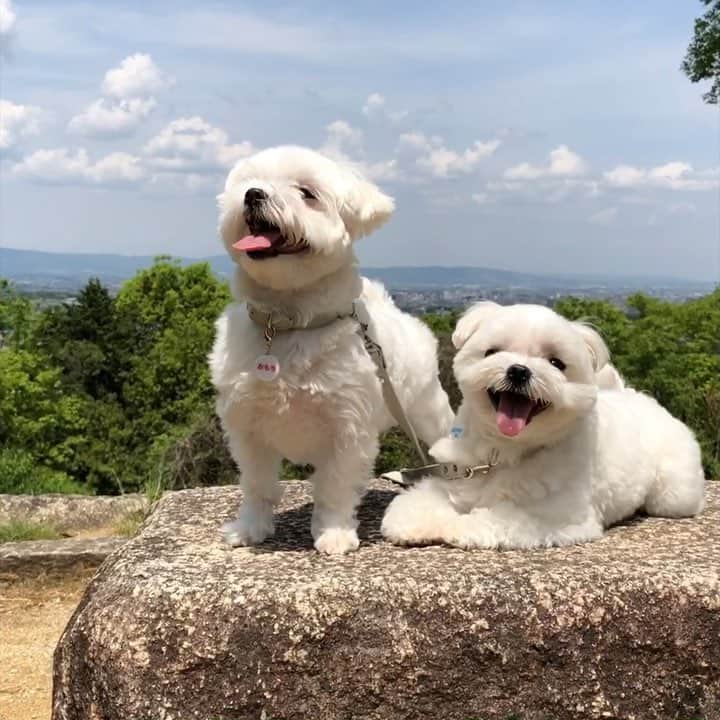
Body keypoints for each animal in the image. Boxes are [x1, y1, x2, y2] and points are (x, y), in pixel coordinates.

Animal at [210, 143, 456, 556]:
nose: (253, 195)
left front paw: (334, 532)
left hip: (426, 408)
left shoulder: (348, 427)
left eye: (306, 193)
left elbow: (337, 486)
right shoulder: (247, 425)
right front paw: (250, 528)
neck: (290, 321)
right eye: (249, 182)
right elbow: (257, 484)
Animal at [380, 300, 704, 548]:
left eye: (556, 363)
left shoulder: (557, 516)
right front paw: (417, 521)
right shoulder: (458, 477)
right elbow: (422, 501)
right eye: (492, 352)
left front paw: (460, 527)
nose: (519, 371)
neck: (503, 452)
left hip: (673, 492)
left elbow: (501, 516)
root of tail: (641, 398)